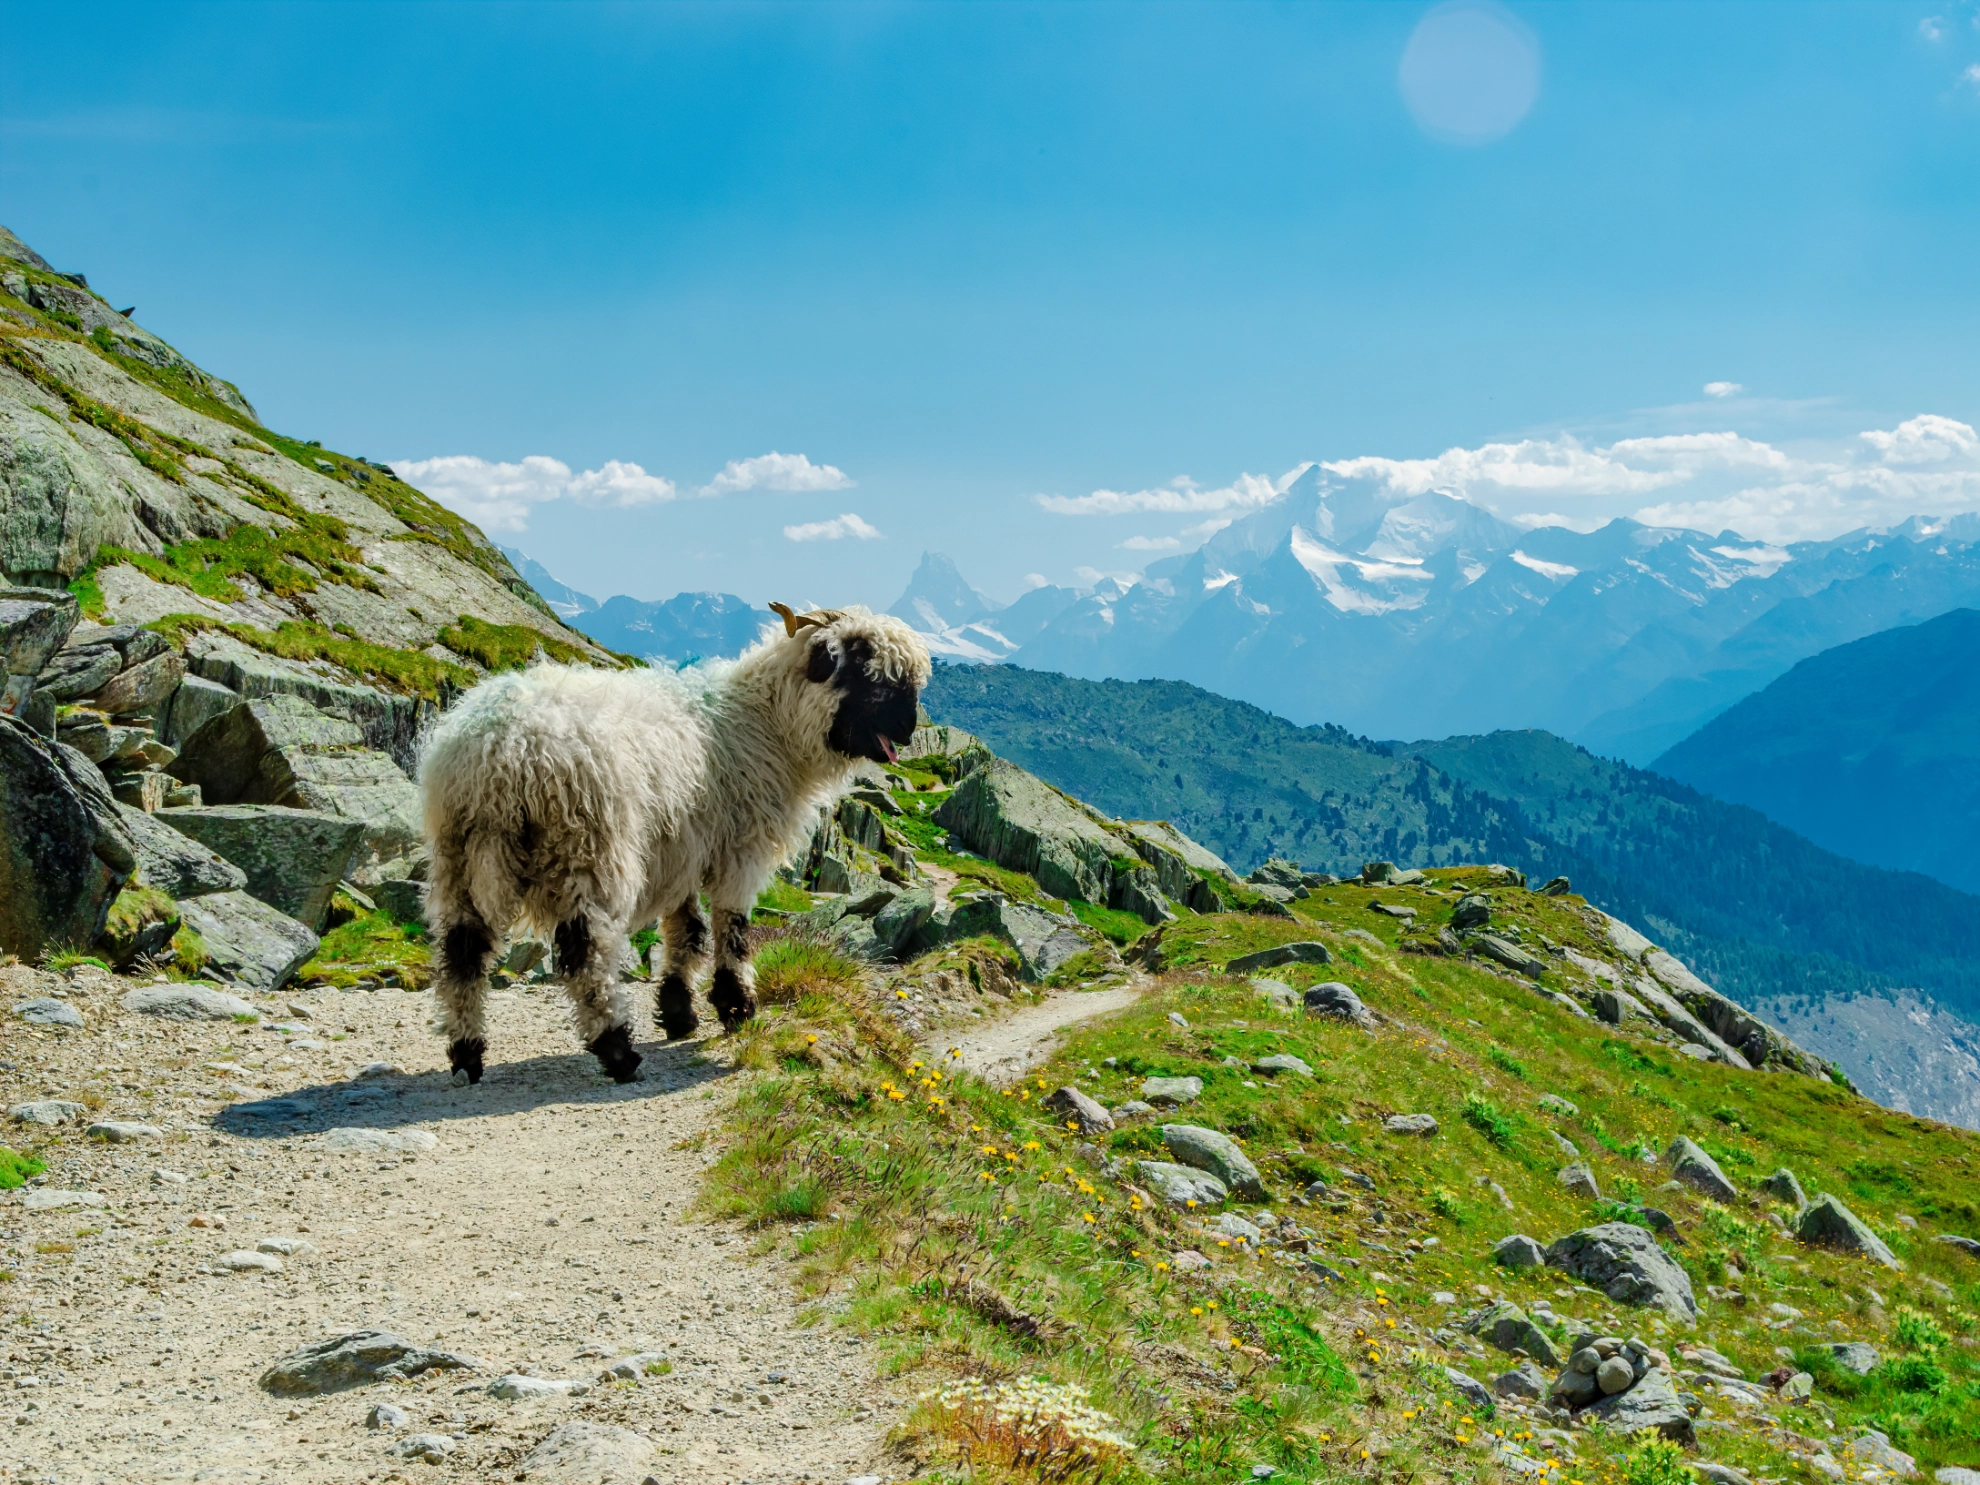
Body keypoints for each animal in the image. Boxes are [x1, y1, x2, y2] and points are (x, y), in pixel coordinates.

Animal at [417, 604, 931, 1085]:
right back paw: (617, 1050)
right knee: (587, 953)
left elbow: (688, 931)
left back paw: (467, 1055)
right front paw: (737, 1007)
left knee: (462, 952)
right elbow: (732, 929)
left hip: (459, 856)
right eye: (868, 674)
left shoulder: (682, 849)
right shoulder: (738, 849)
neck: (766, 723)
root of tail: (501, 753)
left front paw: (679, 1012)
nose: (907, 732)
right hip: (589, 847)